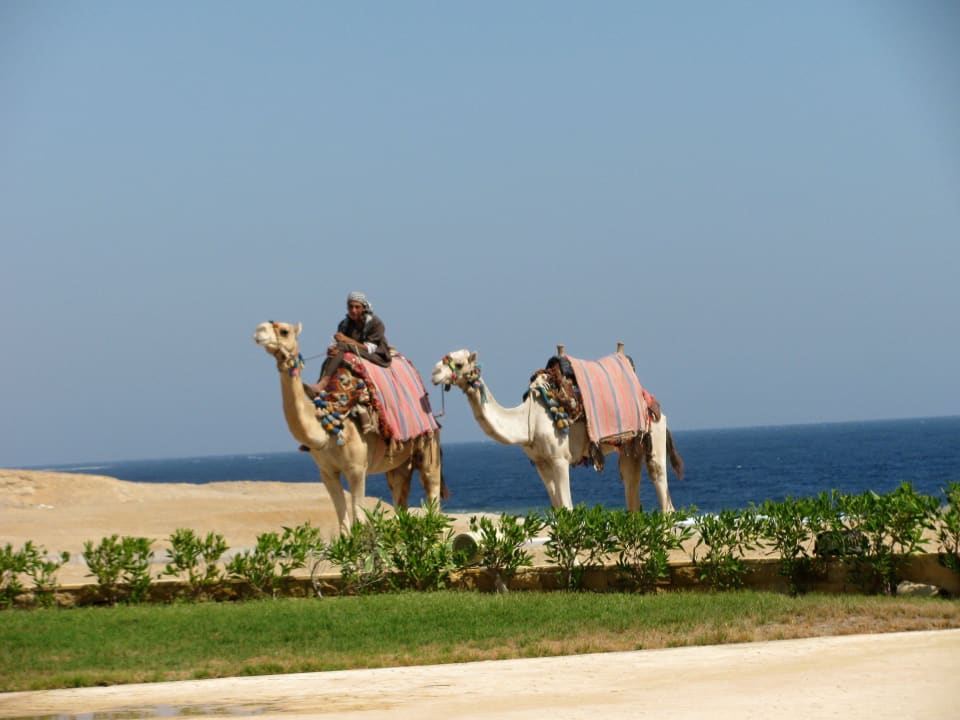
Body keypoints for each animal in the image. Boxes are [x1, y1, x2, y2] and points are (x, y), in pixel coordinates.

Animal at [254, 321, 445, 532]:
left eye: (284, 331)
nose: (259, 331)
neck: (328, 429)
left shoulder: (357, 469)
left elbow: (359, 520)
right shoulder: (327, 472)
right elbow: (344, 524)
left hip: (429, 446)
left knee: (433, 493)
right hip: (398, 463)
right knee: (400, 496)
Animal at [431, 346, 683, 513]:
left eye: (459, 363)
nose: (434, 372)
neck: (528, 421)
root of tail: (650, 399)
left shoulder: (560, 459)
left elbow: (568, 509)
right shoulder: (541, 463)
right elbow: (558, 513)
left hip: (654, 432)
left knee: (662, 488)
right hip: (630, 446)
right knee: (631, 484)